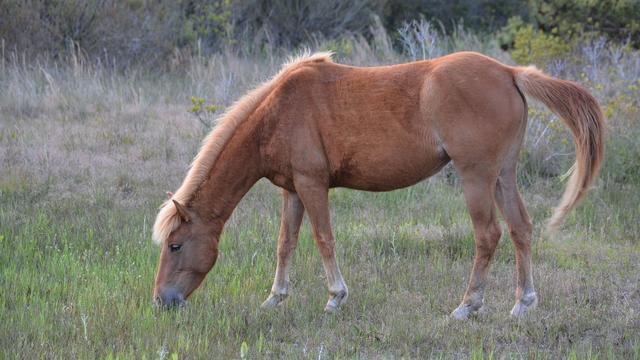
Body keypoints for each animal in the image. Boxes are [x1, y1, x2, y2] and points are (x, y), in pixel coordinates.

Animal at [152, 51, 604, 318]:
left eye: (175, 245)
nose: (162, 300)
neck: (277, 112)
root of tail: (509, 73)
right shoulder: (292, 189)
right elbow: (286, 243)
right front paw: (275, 298)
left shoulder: (312, 185)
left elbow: (323, 239)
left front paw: (335, 297)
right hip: (502, 176)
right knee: (520, 229)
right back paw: (523, 303)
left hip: (476, 176)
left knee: (488, 235)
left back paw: (466, 306)